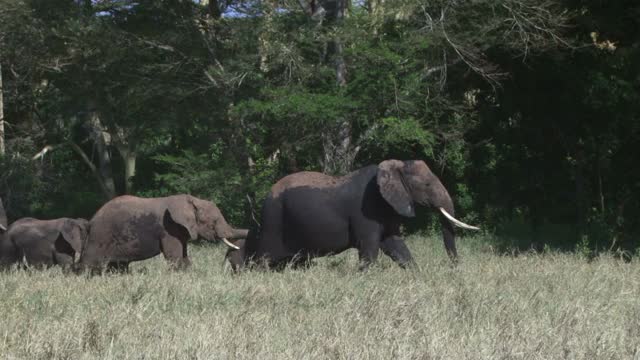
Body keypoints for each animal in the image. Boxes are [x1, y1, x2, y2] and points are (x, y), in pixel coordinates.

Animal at [79, 195, 249, 272]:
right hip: (100, 236)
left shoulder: (180, 230)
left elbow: (184, 256)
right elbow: (174, 257)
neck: (192, 200)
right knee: (90, 261)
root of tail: (91, 220)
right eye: (214, 221)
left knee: (118, 265)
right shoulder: (168, 229)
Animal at [225, 160, 480, 270]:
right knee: (265, 258)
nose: (456, 268)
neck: (394, 166)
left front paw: (415, 275)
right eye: (426, 184)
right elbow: (370, 247)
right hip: (274, 218)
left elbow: (395, 245)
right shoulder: (366, 210)